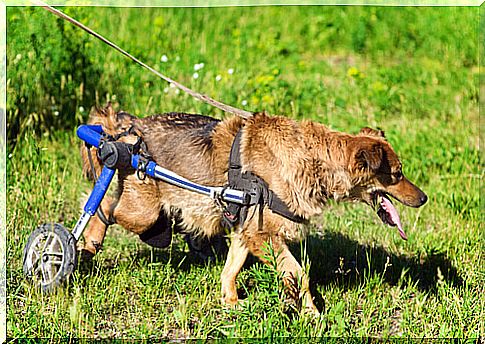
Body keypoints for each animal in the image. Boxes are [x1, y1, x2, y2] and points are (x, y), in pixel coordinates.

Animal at [81, 103, 426, 314]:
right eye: (397, 174)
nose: (423, 198)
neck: (313, 158)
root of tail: (128, 130)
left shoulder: (247, 231)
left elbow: (232, 267)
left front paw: (230, 300)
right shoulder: (265, 236)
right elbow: (299, 274)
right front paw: (312, 313)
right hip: (144, 212)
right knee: (104, 206)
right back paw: (87, 240)